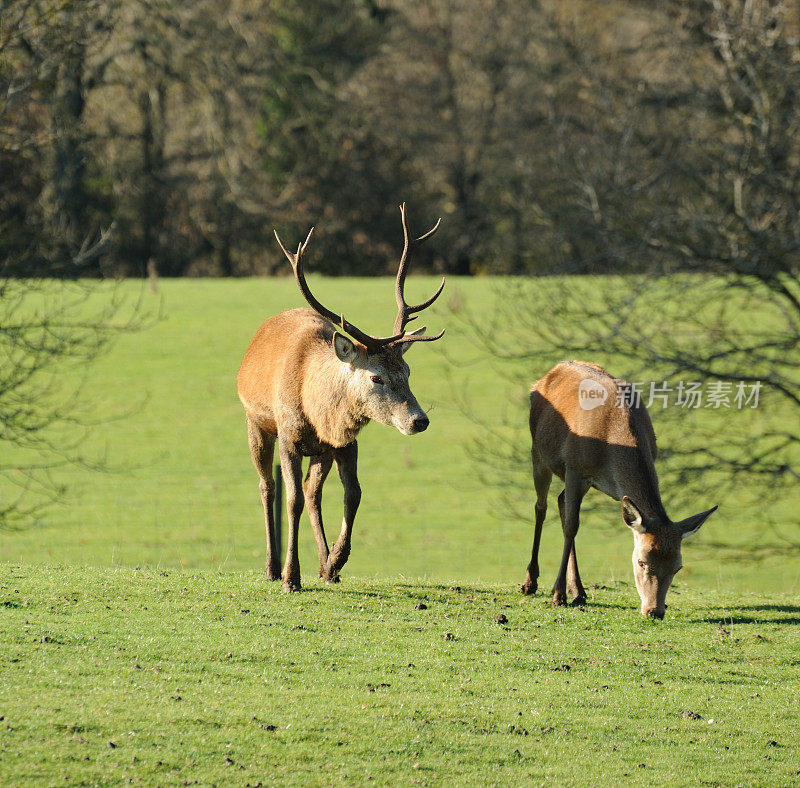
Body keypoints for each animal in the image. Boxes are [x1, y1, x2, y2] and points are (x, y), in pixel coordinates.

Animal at [238, 203, 446, 592]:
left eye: (408, 371)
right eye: (376, 376)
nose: (419, 420)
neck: (315, 407)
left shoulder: (345, 441)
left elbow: (354, 493)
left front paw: (336, 561)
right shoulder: (289, 435)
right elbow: (291, 499)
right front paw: (291, 578)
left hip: (321, 451)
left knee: (313, 492)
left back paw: (324, 566)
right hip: (255, 421)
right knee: (268, 486)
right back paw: (272, 567)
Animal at [520, 360, 716, 620]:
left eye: (678, 566)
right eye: (642, 561)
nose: (654, 611)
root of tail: (551, 372)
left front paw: (569, 592)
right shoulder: (575, 469)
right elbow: (572, 526)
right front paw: (557, 595)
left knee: (560, 501)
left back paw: (579, 591)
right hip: (538, 453)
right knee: (541, 507)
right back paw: (531, 582)